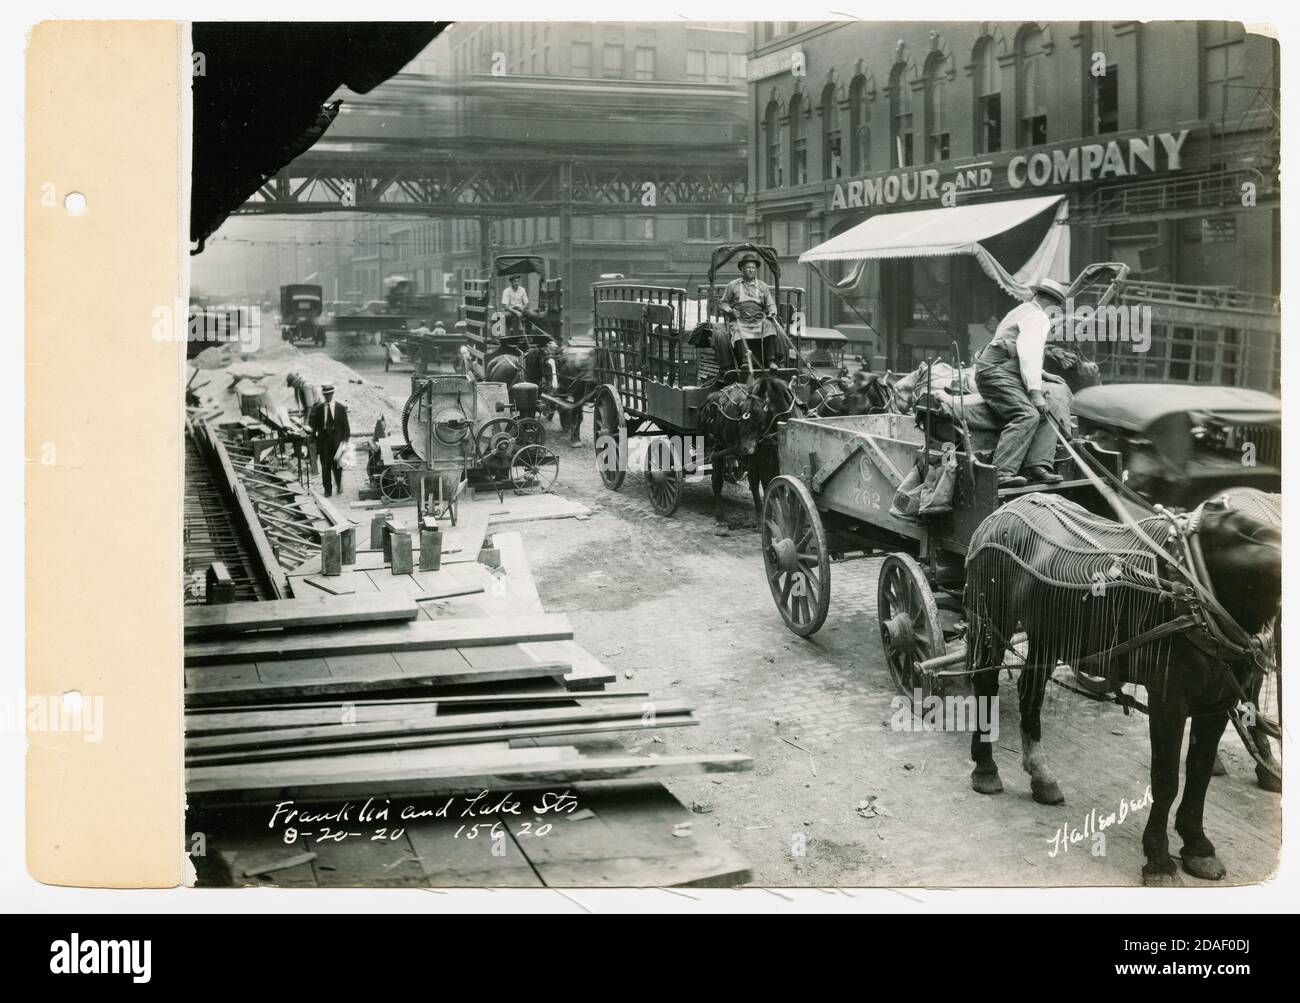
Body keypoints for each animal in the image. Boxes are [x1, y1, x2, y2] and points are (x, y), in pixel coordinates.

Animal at [702, 368, 790, 524]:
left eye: (760, 413)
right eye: (743, 411)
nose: (742, 447)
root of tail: (716, 394)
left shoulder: (774, 464)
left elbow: (777, 488)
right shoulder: (765, 463)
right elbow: (769, 489)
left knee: (753, 483)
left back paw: (759, 512)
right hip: (718, 449)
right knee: (717, 480)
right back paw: (721, 517)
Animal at [961, 493, 1284, 883]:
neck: (1199, 591)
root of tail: (1007, 507)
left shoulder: (1217, 703)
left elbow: (1199, 773)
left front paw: (1197, 846)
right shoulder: (1168, 701)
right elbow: (1166, 779)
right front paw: (1158, 859)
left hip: (1048, 636)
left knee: (1030, 693)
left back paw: (1042, 778)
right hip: (991, 619)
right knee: (985, 685)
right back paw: (985, 769)